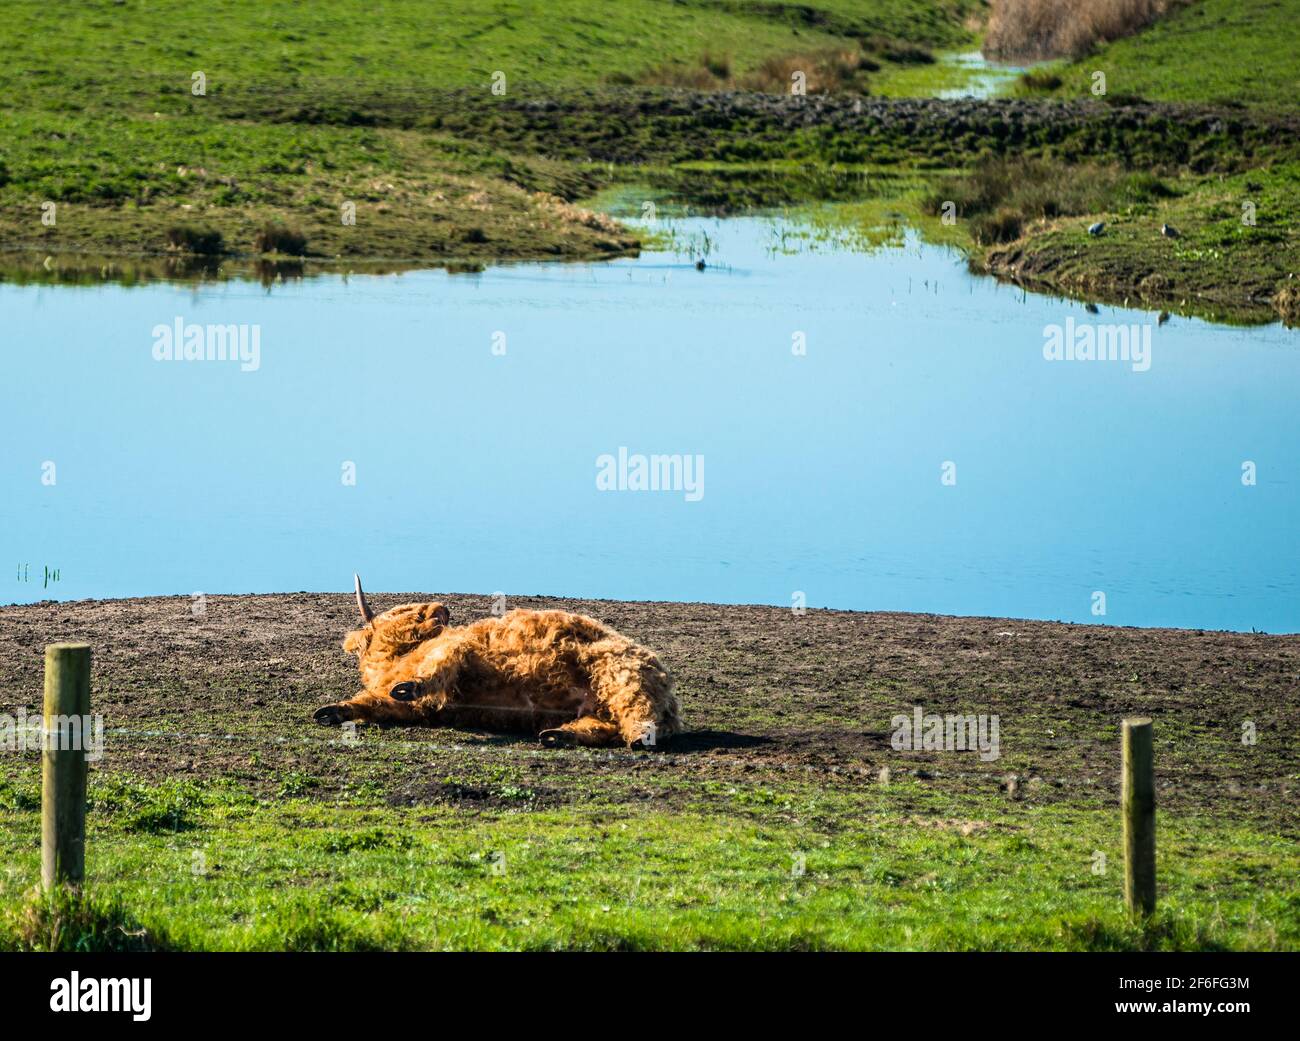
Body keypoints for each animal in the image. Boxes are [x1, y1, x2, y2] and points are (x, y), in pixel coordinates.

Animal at [312, 577, 681, 748]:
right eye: (406, 609)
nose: (444, 606)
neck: (398, 659)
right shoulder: (420, 709)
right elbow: (377, 703)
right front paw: (334, 711)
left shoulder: (457, 647)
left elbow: (436, 667)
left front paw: (410, 685)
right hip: (601, 703)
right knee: (605, 726)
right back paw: (558, 735)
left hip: (619, 670)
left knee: (637, 711)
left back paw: (640, 736)